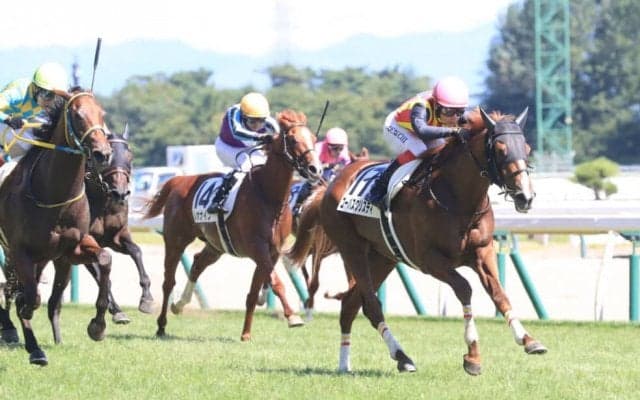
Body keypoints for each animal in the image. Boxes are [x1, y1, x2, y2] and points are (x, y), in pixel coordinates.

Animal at [0, 89, 113, 365]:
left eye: (102, 113)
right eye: (78, 114)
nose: (103, 154)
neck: (54, 194)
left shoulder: (70, 250)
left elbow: (105, 258)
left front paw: (98, 326)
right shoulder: (20, 251)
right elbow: (29, 297)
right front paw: (31, 342)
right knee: (12, 289)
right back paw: (17, 334)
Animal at [83, 128, 153, 323]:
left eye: (130, 155)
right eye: (109, 156)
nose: (120, 193)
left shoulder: (116, 237)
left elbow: (136, 251)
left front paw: (146, 299)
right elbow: (102, 277)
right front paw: (115, 310)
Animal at [144, 109, 323, 341]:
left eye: (314, 139)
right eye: (292, 139)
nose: (315, 169)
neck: (268, 196)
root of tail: (178, 181)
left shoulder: (272, 251)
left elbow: (254, 292)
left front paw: (246, 334)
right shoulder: (257, 248)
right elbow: (276, 282)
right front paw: (292, 316)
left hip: (215, 244)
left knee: (198, 263)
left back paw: (180, 305)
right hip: (176, 240)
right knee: (168, 282)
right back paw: (161, 325)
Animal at [286, 107, 546, 375]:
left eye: (526, 148)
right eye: (501, 149)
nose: (525, 197)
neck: (456, 197)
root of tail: (329, 187)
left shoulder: (482, 251)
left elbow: (499, 293)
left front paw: (528, 340)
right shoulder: (429, 260)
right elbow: (464, 288)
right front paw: (472, 355)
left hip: (382, 257)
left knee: (350, 304)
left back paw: (344, 364)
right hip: (352, 249)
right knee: (371, 305)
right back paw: (402, 356)